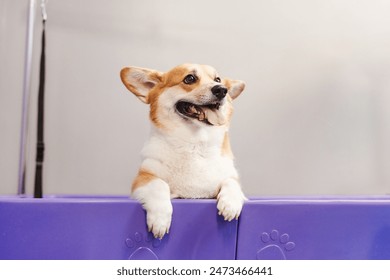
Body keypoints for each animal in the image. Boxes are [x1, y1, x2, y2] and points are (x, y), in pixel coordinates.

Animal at [119, 63, 247, 238]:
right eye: (190, 78)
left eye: (217, 79)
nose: (222, 90)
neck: (195, 143)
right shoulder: (143, 178)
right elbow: (159, 185)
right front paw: (160, 220)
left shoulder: (228, 177)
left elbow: (232, 182)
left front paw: (230, 204)